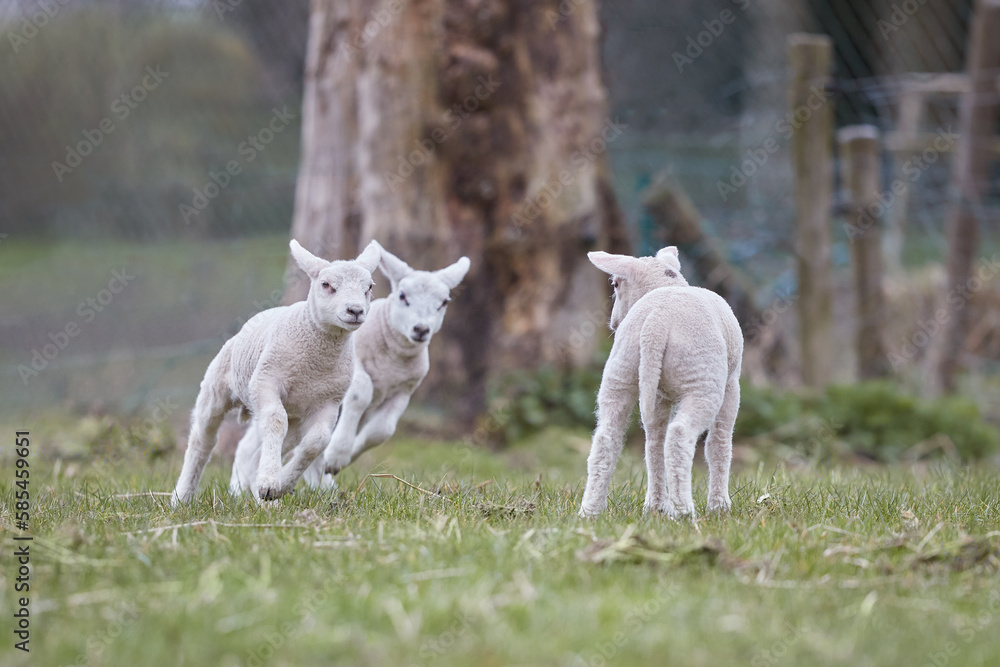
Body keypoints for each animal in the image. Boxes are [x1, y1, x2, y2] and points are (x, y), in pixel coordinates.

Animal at [171, 240, 380, 505]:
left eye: (369, 287)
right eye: (326, 284)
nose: (355, 311)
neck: (316, 362)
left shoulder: (329, 401)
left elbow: (318, 442)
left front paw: (279, 485)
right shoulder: (266, 382)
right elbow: (275, 420)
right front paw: (271, 482)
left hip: (297, 416)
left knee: (269, 448)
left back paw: (261, 493)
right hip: (216, 388)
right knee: (203, 440)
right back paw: (182, 497)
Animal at [231, 243, 470, 492]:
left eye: (444, 302)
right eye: (403, 296)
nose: (421, 329)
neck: (393, 356)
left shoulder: (404, 390)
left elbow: (383, 430)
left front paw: (342, 458)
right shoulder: (356, 371)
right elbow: (360, 394)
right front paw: (338, 453)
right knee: (249, 445)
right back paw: (240, 487)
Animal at [579, 246, 743, 518]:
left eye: (615, 284)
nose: (613, 323)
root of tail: (656, 322)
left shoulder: (657, 394)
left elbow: (654, 443)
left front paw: (655, 505)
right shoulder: (732, 384)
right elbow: (719, 443)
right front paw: (720, 506)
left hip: (620, 370)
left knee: (606, 438)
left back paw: (590, 511)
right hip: (703, 378)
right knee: (679, 436)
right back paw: (685, 511)